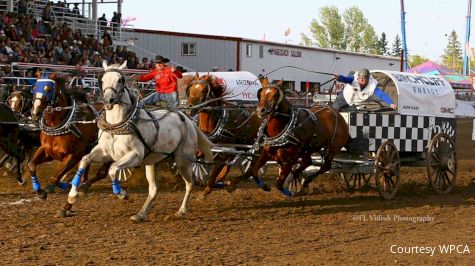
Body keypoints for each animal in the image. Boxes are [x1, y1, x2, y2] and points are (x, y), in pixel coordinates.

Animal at [61, 61, 214, 221]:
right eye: (102, 80)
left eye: (120, 80)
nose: (108, 101)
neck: (118, 125)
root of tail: (187, 119)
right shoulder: (104, 152)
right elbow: (85, 160)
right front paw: (72, 195)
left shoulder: (135, 156)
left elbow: (113, 169)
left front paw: (122, 194)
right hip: (153, 162)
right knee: (153, 189)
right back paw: (141, 214)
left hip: (183, 160)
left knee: (189, 184)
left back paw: (181, 210)